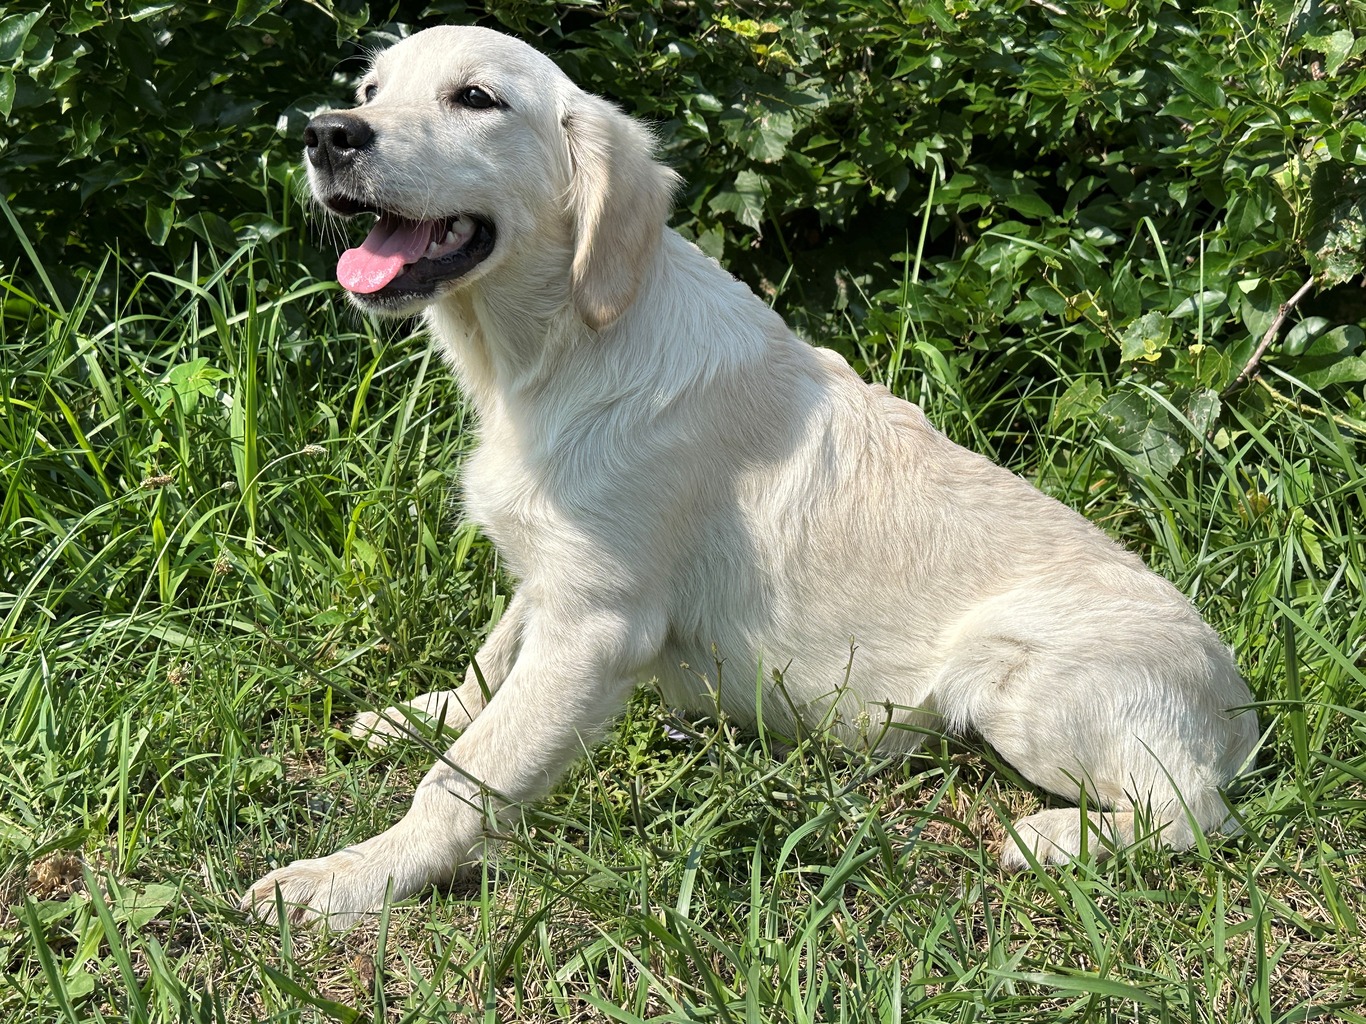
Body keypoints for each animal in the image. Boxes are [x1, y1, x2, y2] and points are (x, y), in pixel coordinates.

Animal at [243, 26, 1256, 928]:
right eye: (371, 90)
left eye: (476, 99)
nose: (327, 133)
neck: (557, 350)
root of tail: (1241, 709)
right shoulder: (551, 578)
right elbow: (488, 668)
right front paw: (419, 715)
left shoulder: (598, 620)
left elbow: (466, 775)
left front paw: (352, 877)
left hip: (1012, 678)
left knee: (1195, 814)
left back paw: (1051, 839)